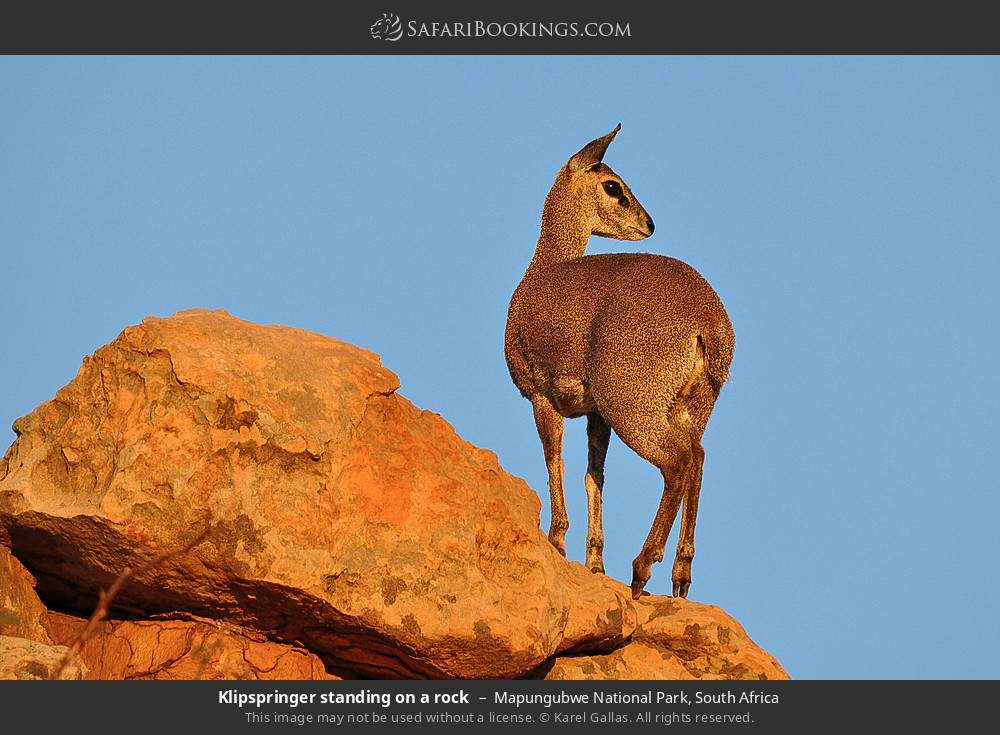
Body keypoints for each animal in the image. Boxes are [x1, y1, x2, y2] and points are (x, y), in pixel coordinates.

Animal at [508, 123, 736, 600]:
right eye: (613, 185)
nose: (649, 224)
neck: (542, 271)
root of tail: (708, 321)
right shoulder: (596, 415)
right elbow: (594, 473)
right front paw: (594, 561)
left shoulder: (541, 397)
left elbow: (554, 459)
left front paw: (557, 540)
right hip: (688, 408)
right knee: (698, 457)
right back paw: (680, 576)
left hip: (634, 407)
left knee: (678, 462)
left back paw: (642, 567)